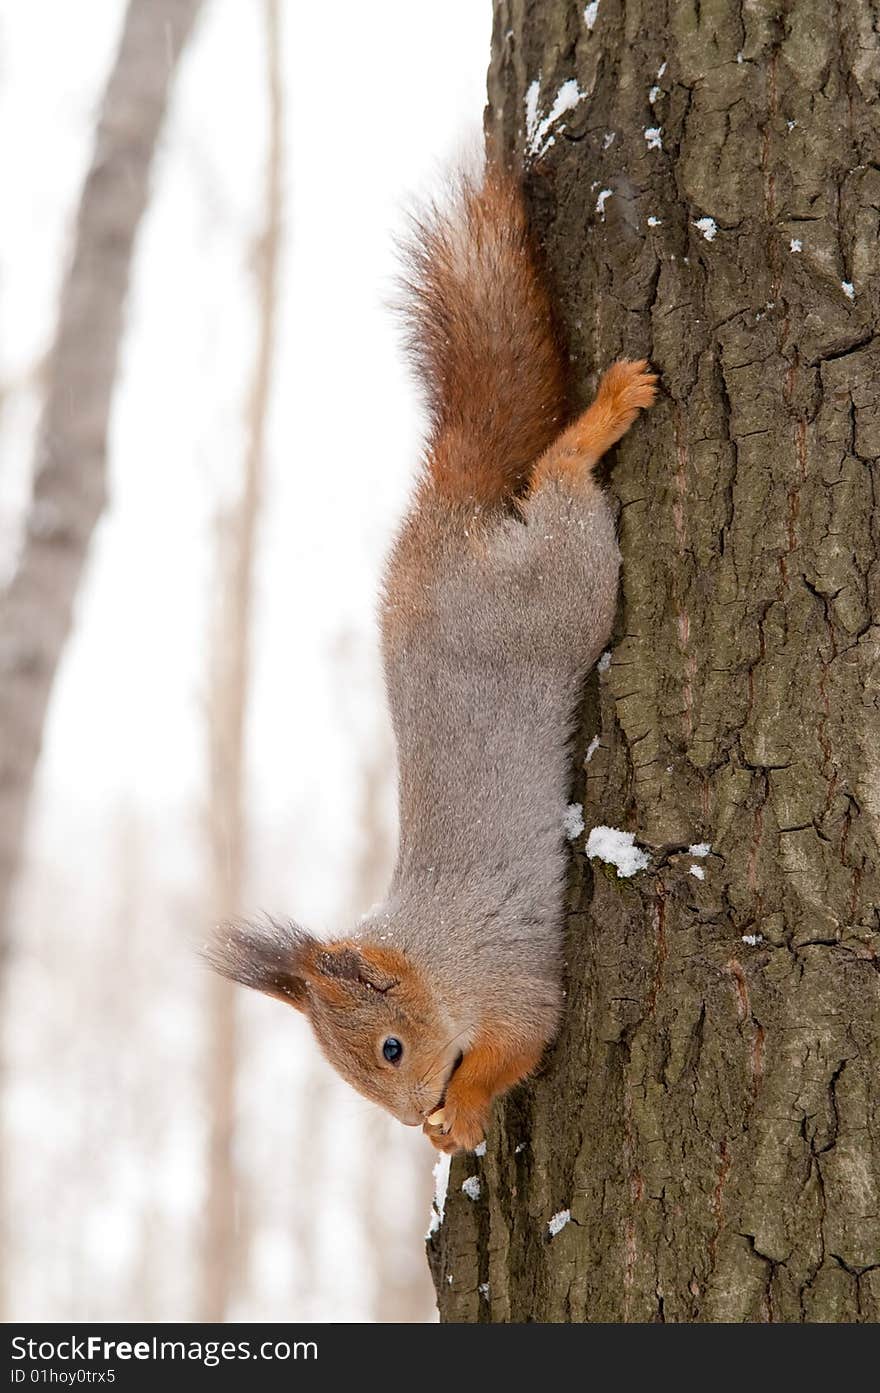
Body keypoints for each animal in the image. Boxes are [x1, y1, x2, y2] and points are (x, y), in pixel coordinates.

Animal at [206, 162, 657, 1153]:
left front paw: (465, 1112)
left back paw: (609, 409)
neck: (435, 963)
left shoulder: (510, 980)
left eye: (390, 1048)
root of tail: (442, 522)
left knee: (560, 480)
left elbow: (518, 1045)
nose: (412, 1118)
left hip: (561, 593)